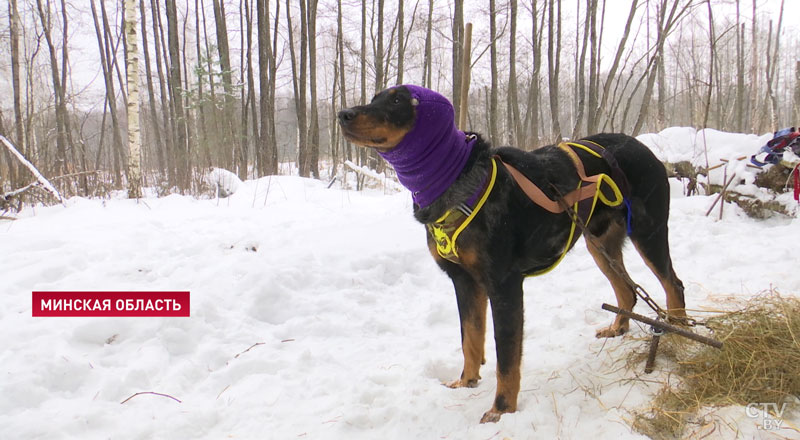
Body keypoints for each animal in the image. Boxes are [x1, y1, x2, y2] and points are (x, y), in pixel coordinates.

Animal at [338, 84, 688, 424]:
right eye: (375, 98)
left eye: (397, 100)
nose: (343, 113)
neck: (455, 183)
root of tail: (644, 148)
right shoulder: (464, 282)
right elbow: (470, 338)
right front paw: (466, 381)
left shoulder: (503, 286)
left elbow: (505, 356)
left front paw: (502, 409)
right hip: (599, 244)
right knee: (627, 291)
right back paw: (618, 328)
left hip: (648, 233)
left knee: (673, 284)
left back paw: (679, 333)